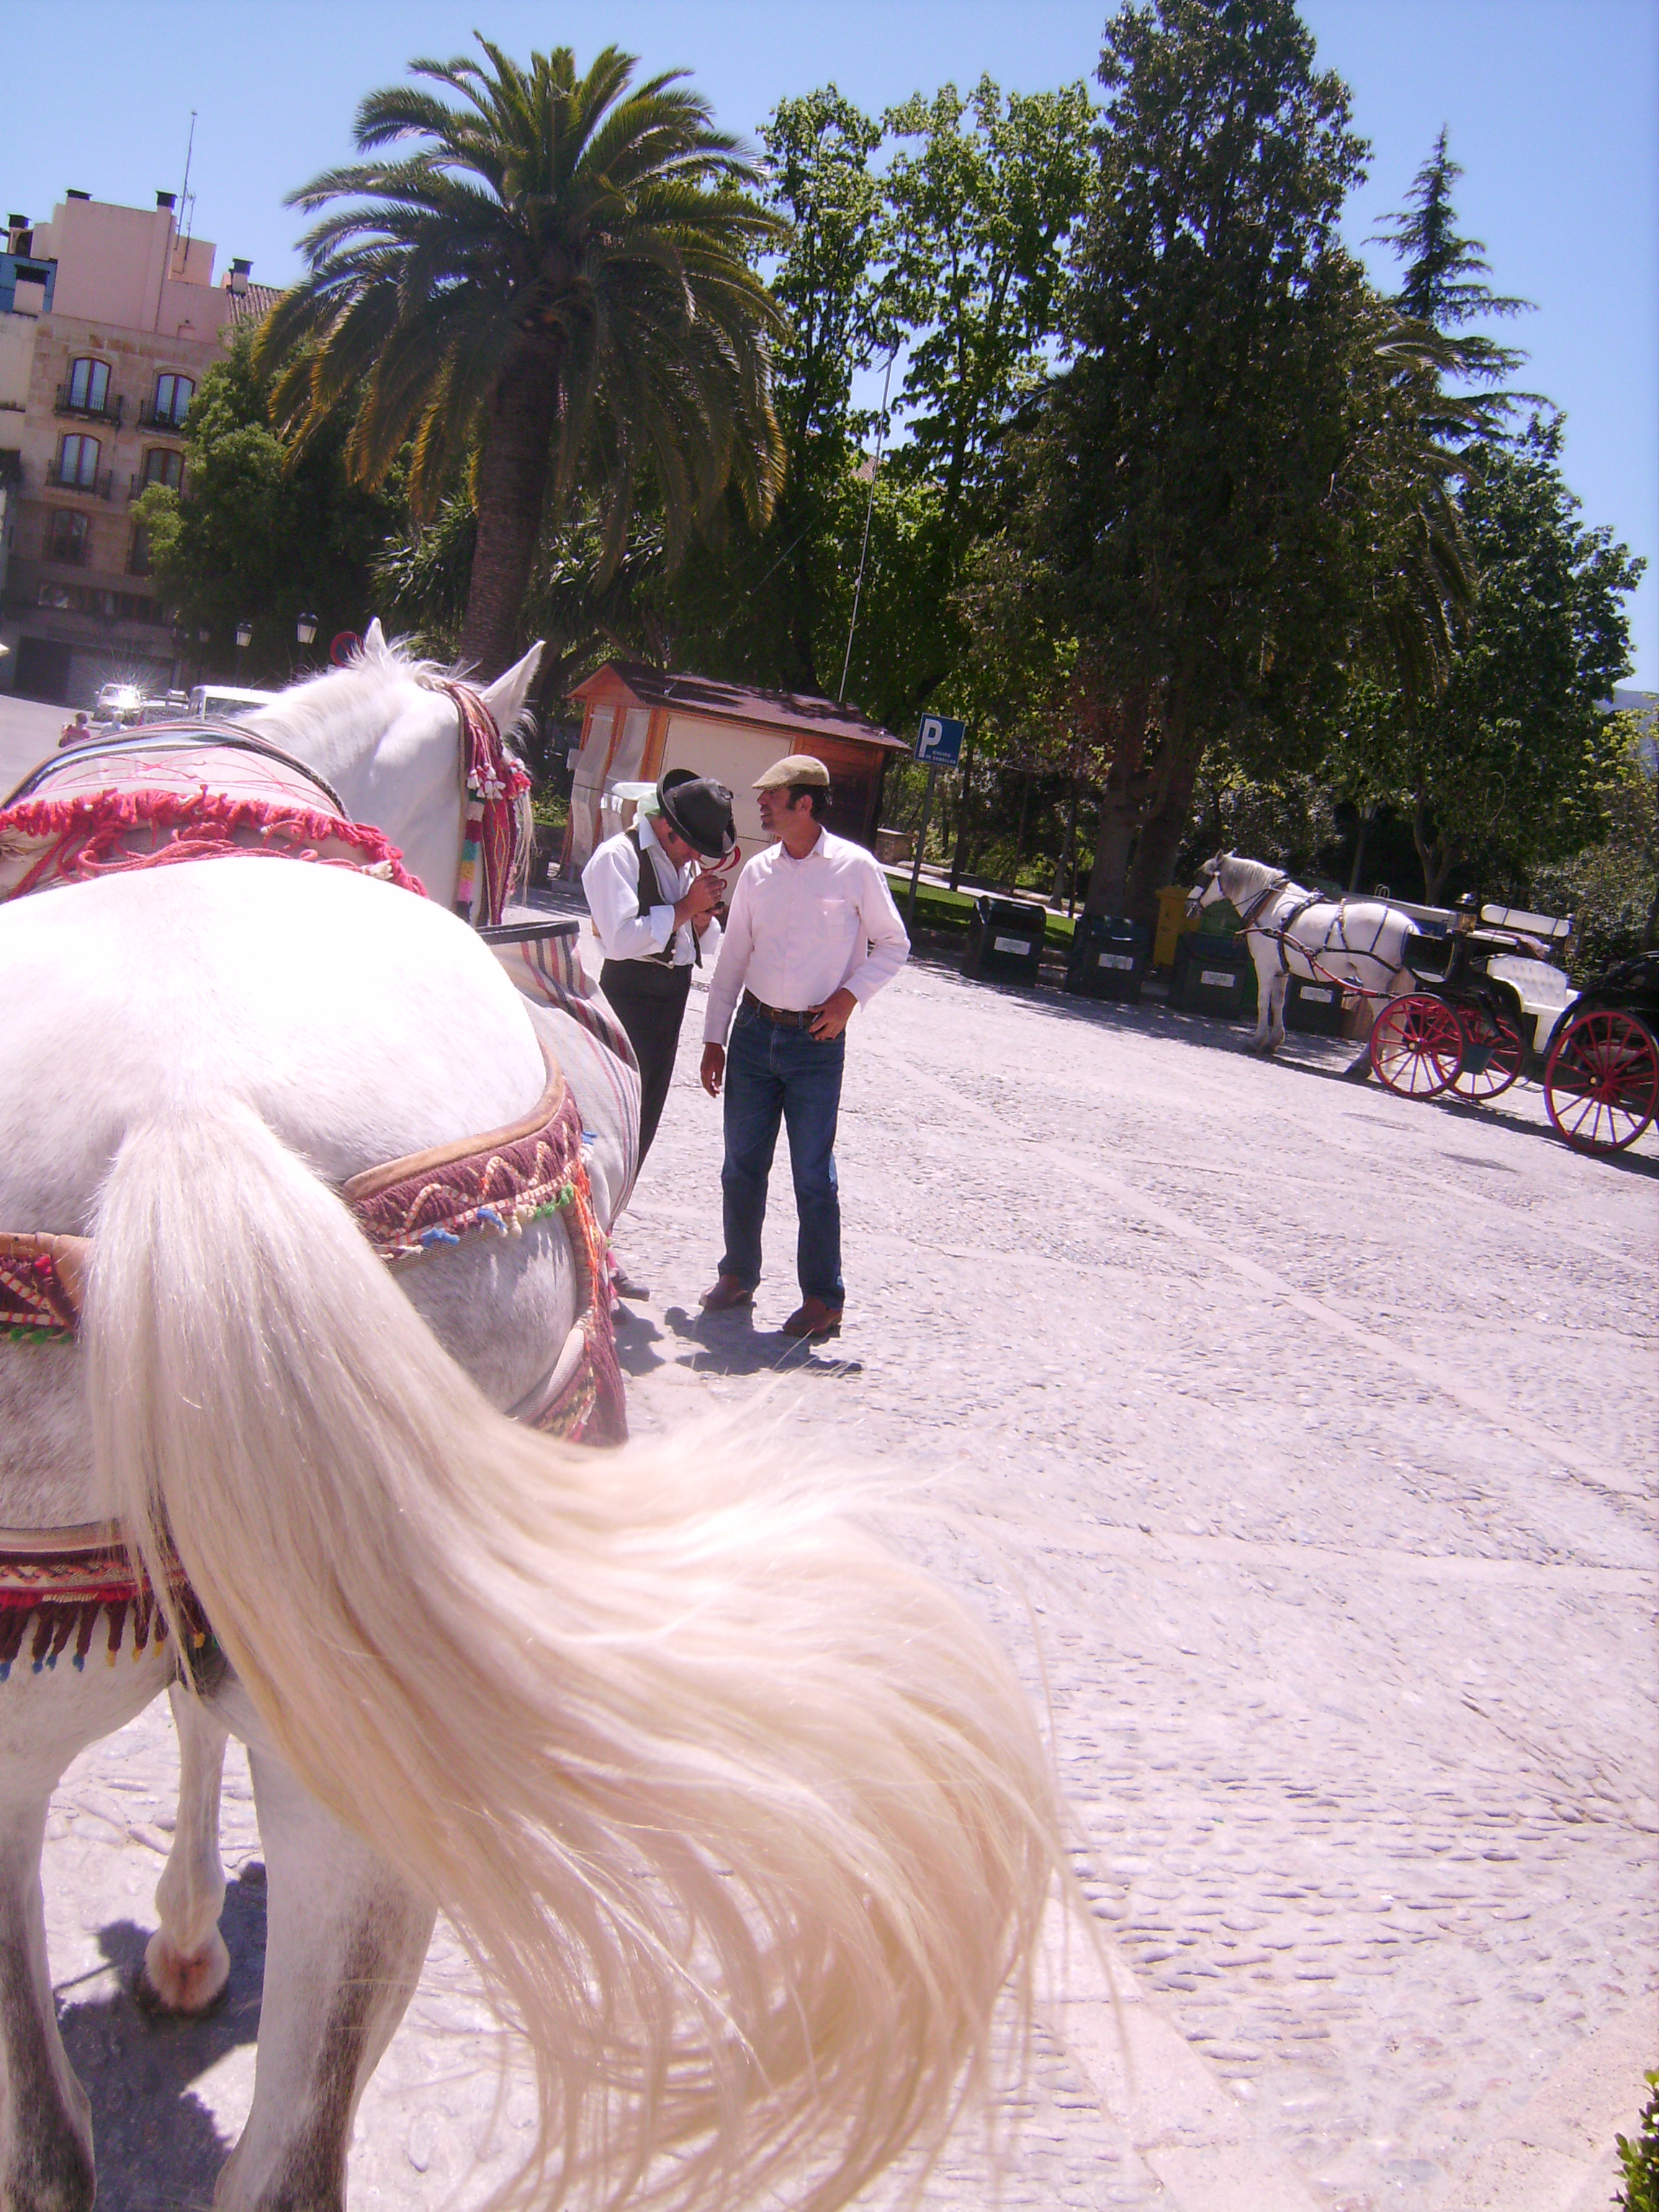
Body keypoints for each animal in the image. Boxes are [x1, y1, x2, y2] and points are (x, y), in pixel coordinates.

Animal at [1185, 845, 1424, 1053]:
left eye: (1202, 876)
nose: (1189, 906)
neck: (1270, 904)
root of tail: (1410, 927)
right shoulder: (1281, 969)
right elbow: (1278, 1003)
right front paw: (1274, 1040)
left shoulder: (1264, 966)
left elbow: (1263, 1001)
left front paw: (1257, 1039)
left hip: (1374, 981)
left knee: (1383, 1020)